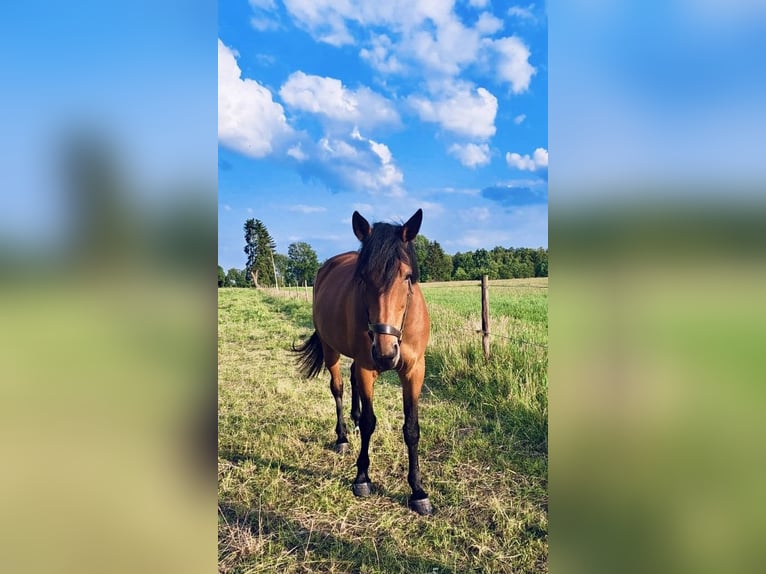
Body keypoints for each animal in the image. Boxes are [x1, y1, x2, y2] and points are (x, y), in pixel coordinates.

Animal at [296, 209, 436, 516]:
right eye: (362, 278)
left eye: (407, 277)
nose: (385, 353)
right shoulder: (366, 367)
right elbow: (372, 421)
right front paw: (362, 477)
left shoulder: (414, 371)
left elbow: (411, 428)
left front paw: (418, 491)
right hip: (331, 349)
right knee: (337, 387)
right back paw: (343, 437)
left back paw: (354, 419)